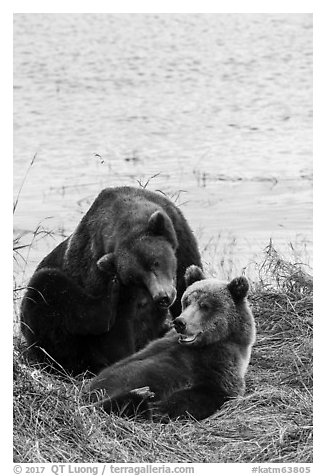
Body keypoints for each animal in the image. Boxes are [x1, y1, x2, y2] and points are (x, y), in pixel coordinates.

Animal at [19, 186, 201, 376]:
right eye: (136, 278)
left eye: (155, 262)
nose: (162, 297)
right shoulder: (101, 269)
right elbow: (116, 329)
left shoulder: (181, 236)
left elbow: (185, 283)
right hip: (60, 334)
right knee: (48, 289)